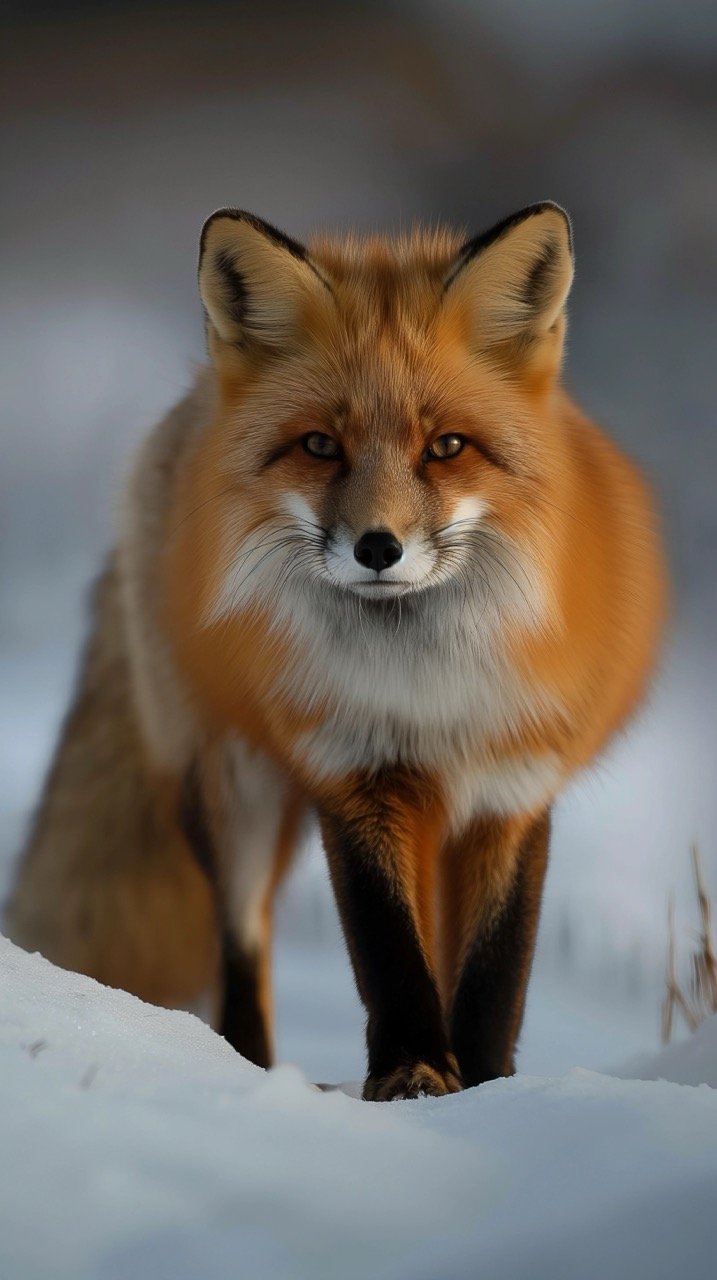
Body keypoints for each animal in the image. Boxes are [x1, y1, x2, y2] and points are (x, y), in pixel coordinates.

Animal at [5, 204, 665, 1095]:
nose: (378, 548)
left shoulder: (512, 783)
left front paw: (485, 1091)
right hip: (233, 787)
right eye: (320, 446)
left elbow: (494, 972)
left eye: (446, 447)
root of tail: (190, 405)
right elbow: (386, 951)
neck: (423, 690)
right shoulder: (353, 770)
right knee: (242, 945)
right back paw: (250, 1074)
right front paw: (412, 1072)